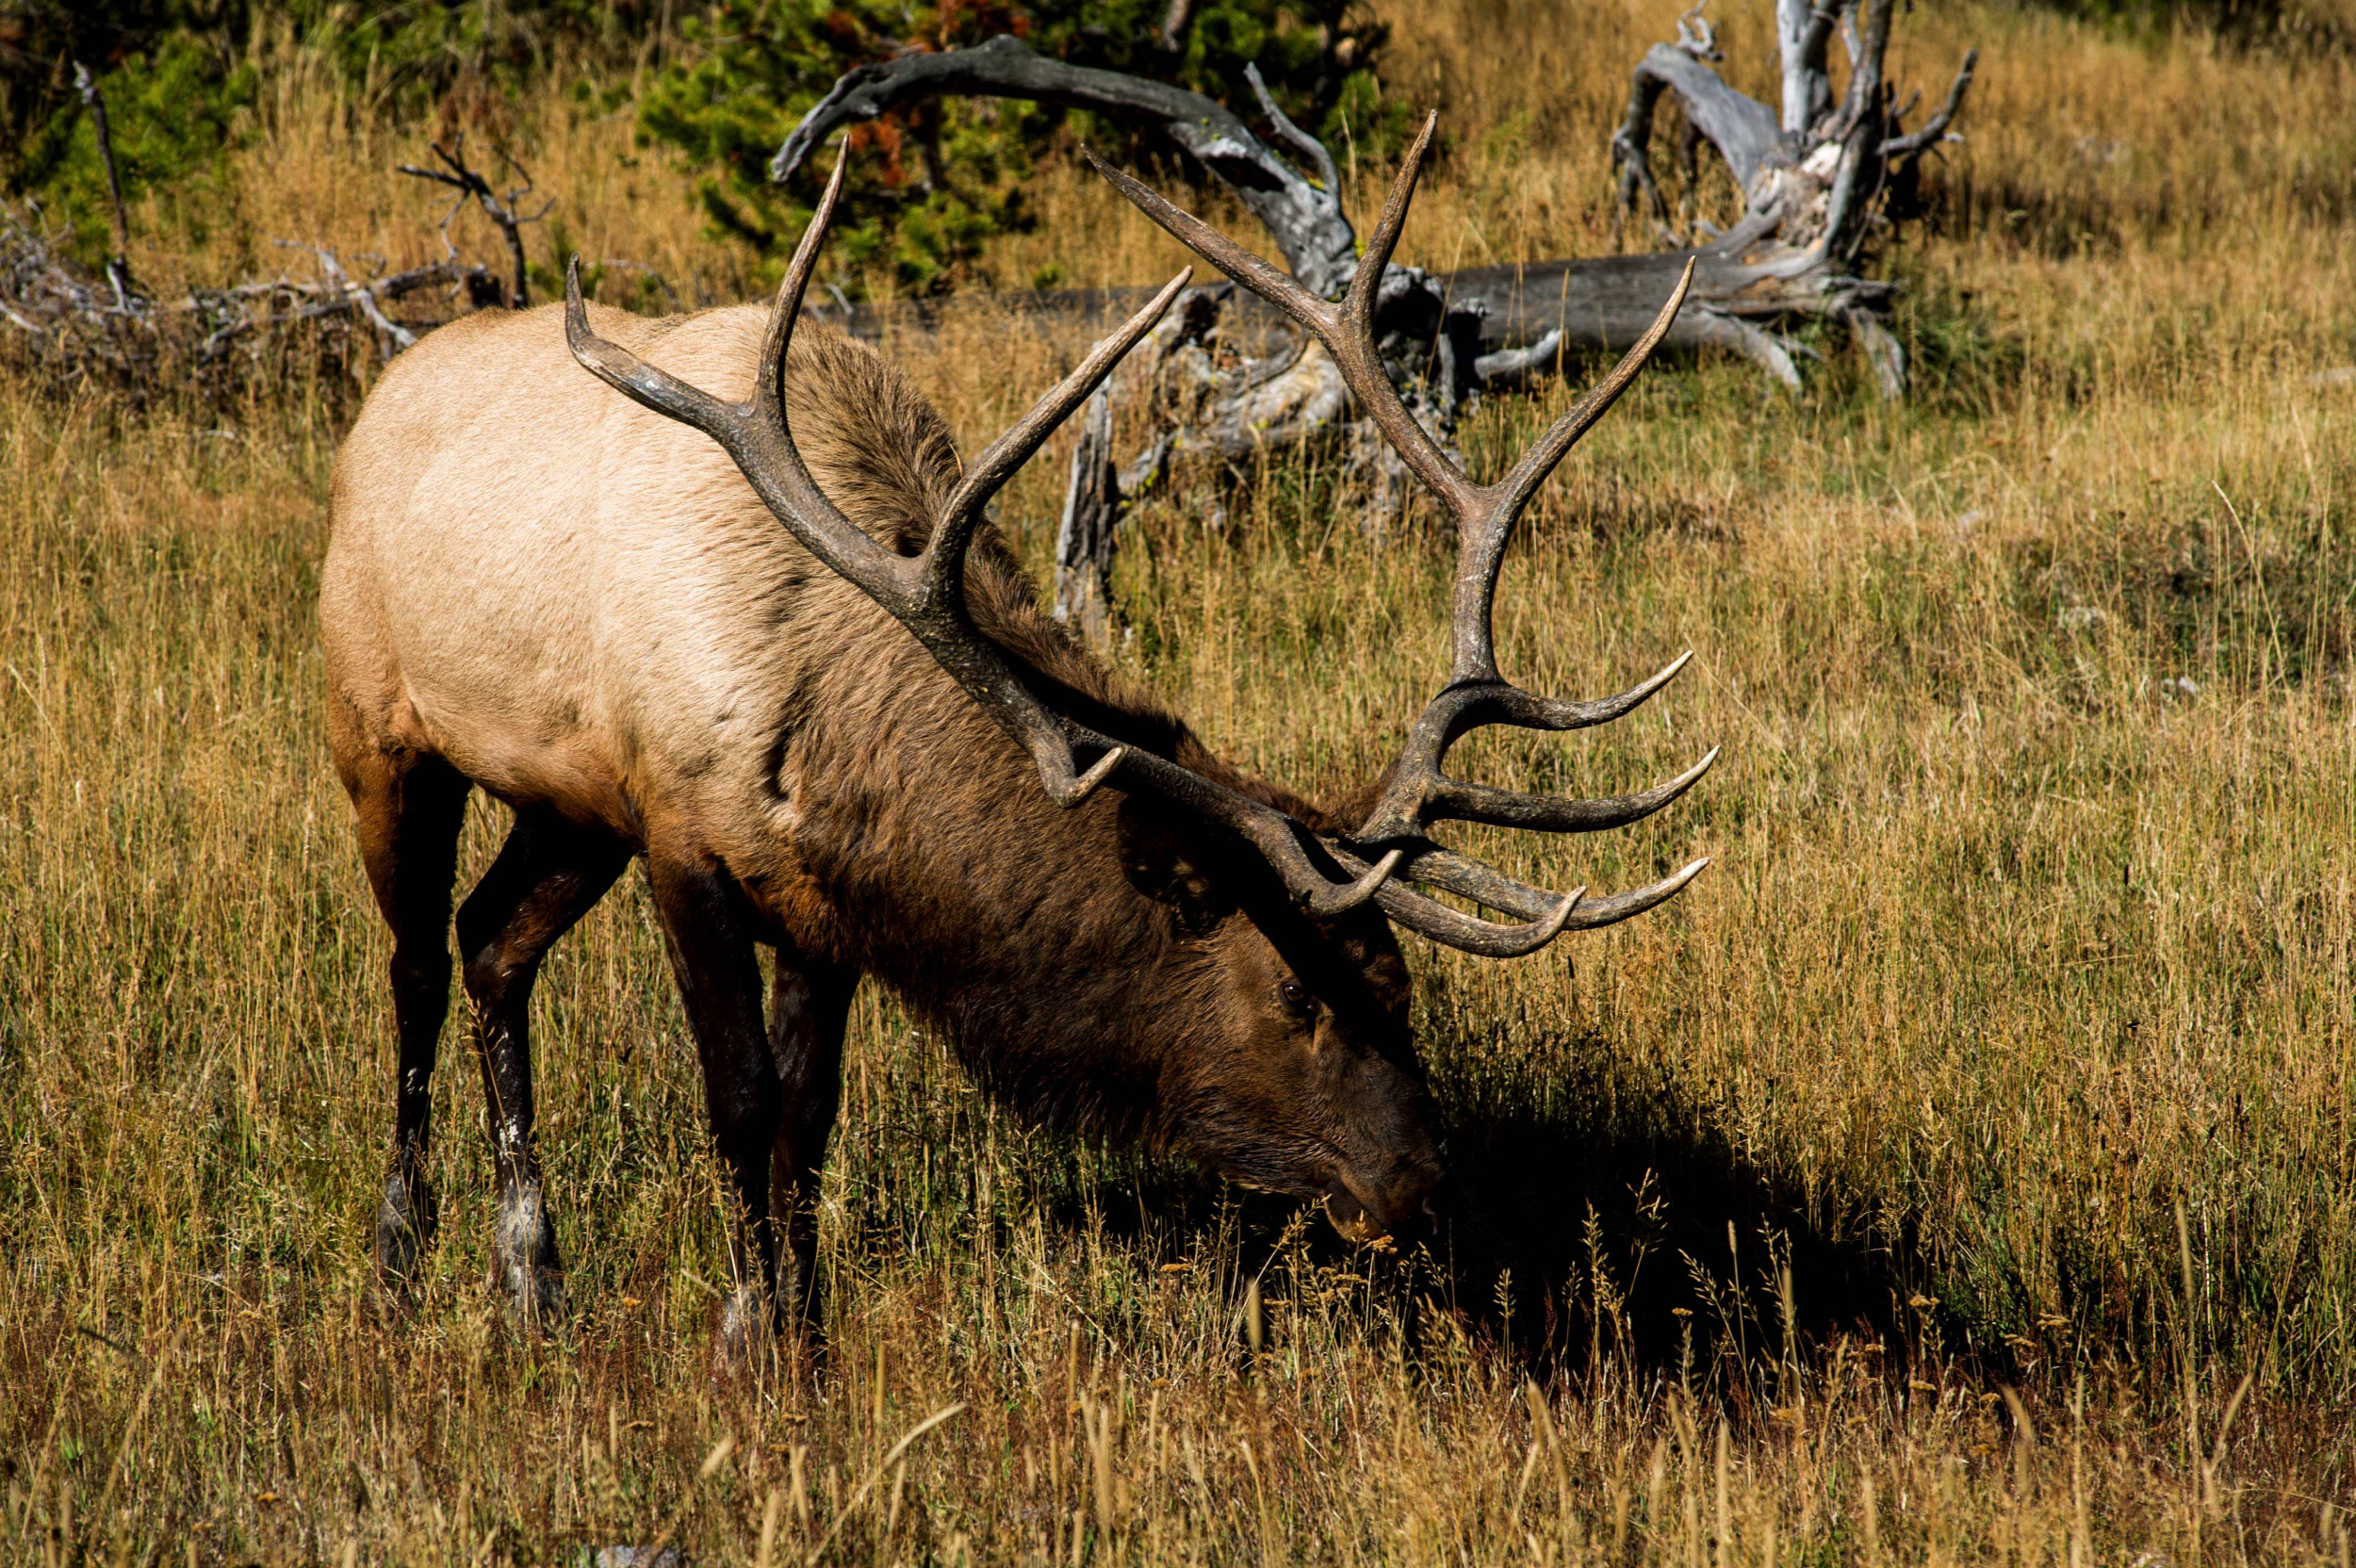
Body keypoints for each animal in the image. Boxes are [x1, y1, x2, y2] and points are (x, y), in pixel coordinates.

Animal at [318, 119, 1715, 1347]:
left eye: (1399, 979)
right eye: (1293, 996)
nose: (1421, 1182)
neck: (827, 707)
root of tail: (380, 393)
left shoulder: (818, 900)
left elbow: (807, 1117)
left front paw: (798, 1332)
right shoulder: (681, 836)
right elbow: (742, 1100)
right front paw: (751, 1340)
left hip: (566, 806)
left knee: (493, 942)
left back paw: (532, 1276)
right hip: (380, 730)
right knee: (418, 964)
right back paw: (400, 1256)